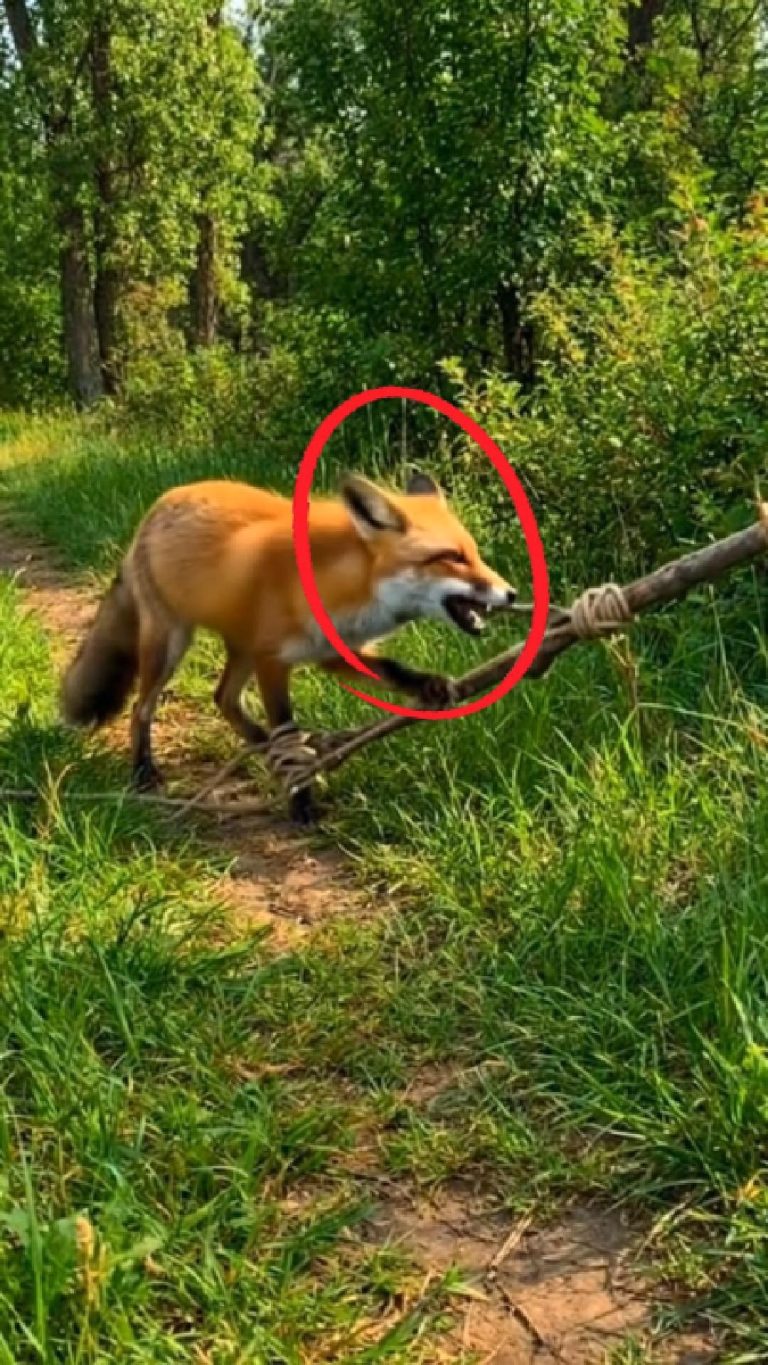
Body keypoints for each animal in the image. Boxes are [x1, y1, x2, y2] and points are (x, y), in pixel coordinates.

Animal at [60, 469, 516, 817]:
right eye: (451, 557)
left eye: (474, 554)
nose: (510, 594)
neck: (342, 586)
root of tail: (157, 508)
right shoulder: (273, 661)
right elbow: (288, 733)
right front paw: (301, 802)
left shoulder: (331, 651)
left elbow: (392, 669)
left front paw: (429, 686)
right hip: (170, 645)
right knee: (143, 708)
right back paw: (144, 772)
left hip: (240, 648)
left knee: (223, 698)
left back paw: (261, 748)